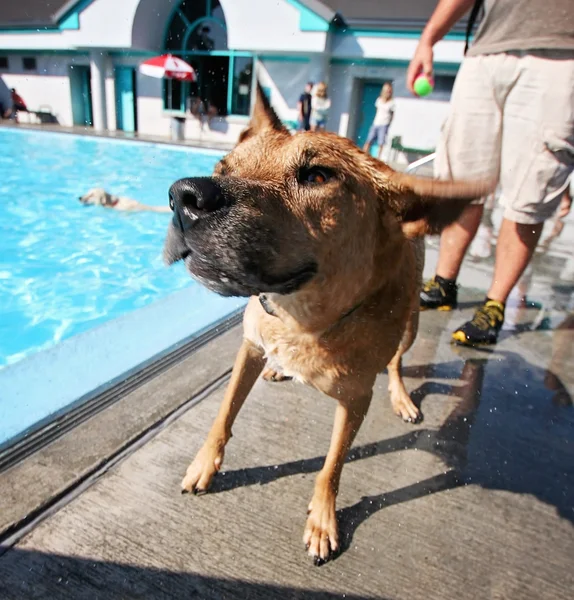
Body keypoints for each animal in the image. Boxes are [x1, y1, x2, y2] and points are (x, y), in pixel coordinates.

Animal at [163, 86, 496, 564]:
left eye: (318, 175)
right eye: (221, 169)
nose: (185, 197)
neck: (303, 319)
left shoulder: (356, 400)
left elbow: (331, 467)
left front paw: (322, 520)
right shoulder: (249, 348)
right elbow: (223, 415)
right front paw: (203, 465)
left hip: (411, 326)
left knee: (397, 361)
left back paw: (401, 396)